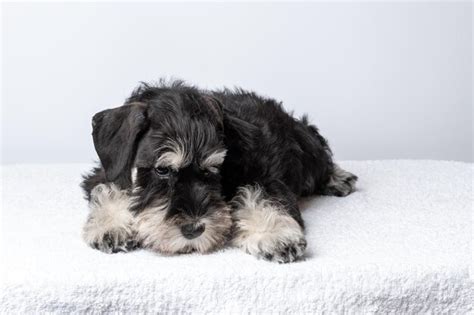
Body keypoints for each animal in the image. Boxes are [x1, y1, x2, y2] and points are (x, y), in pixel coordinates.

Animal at [81, 80, 356, 262]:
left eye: (213, 169)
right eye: (162, 170)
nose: (193, 230)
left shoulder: (268, 179)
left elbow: (263, 197)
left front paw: (275, 235)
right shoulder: (105, 171)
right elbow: (111, 189)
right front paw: (111, 227)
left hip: (307, 146)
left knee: (321, 159)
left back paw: (339, 179)